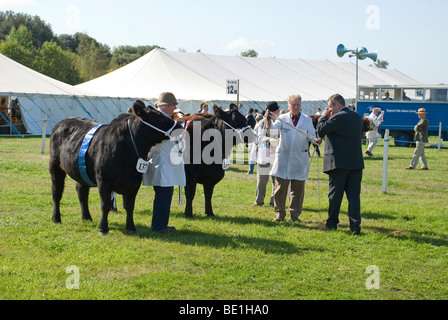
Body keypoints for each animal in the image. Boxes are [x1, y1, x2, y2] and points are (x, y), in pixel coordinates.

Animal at [49, 100, 180, 235]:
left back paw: (86, 217)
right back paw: (56, 218)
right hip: (55, 166)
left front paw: (131, 227)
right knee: (56, 192)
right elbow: (105, 204)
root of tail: (63, 121)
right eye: (158, 117)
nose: (179, 126)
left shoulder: (136, 182)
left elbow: (130, 206)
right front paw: (103, 228)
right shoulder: (103, 180)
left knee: (81, 191)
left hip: (80, 170)